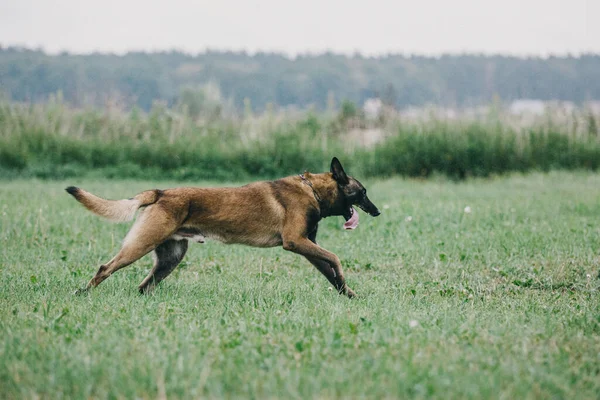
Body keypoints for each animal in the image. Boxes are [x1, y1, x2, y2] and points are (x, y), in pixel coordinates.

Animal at [65, 156, 380, 296]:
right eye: (363, 192)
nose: (377, 211)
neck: (312, 190)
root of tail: (161, 192)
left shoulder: (307, 246)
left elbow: (329, 271)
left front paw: (348, 294)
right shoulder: (296, 242)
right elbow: (335, 259)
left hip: (170, 258)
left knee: (143, 285)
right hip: (140, 245)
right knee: (105, 268)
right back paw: (82, 293)